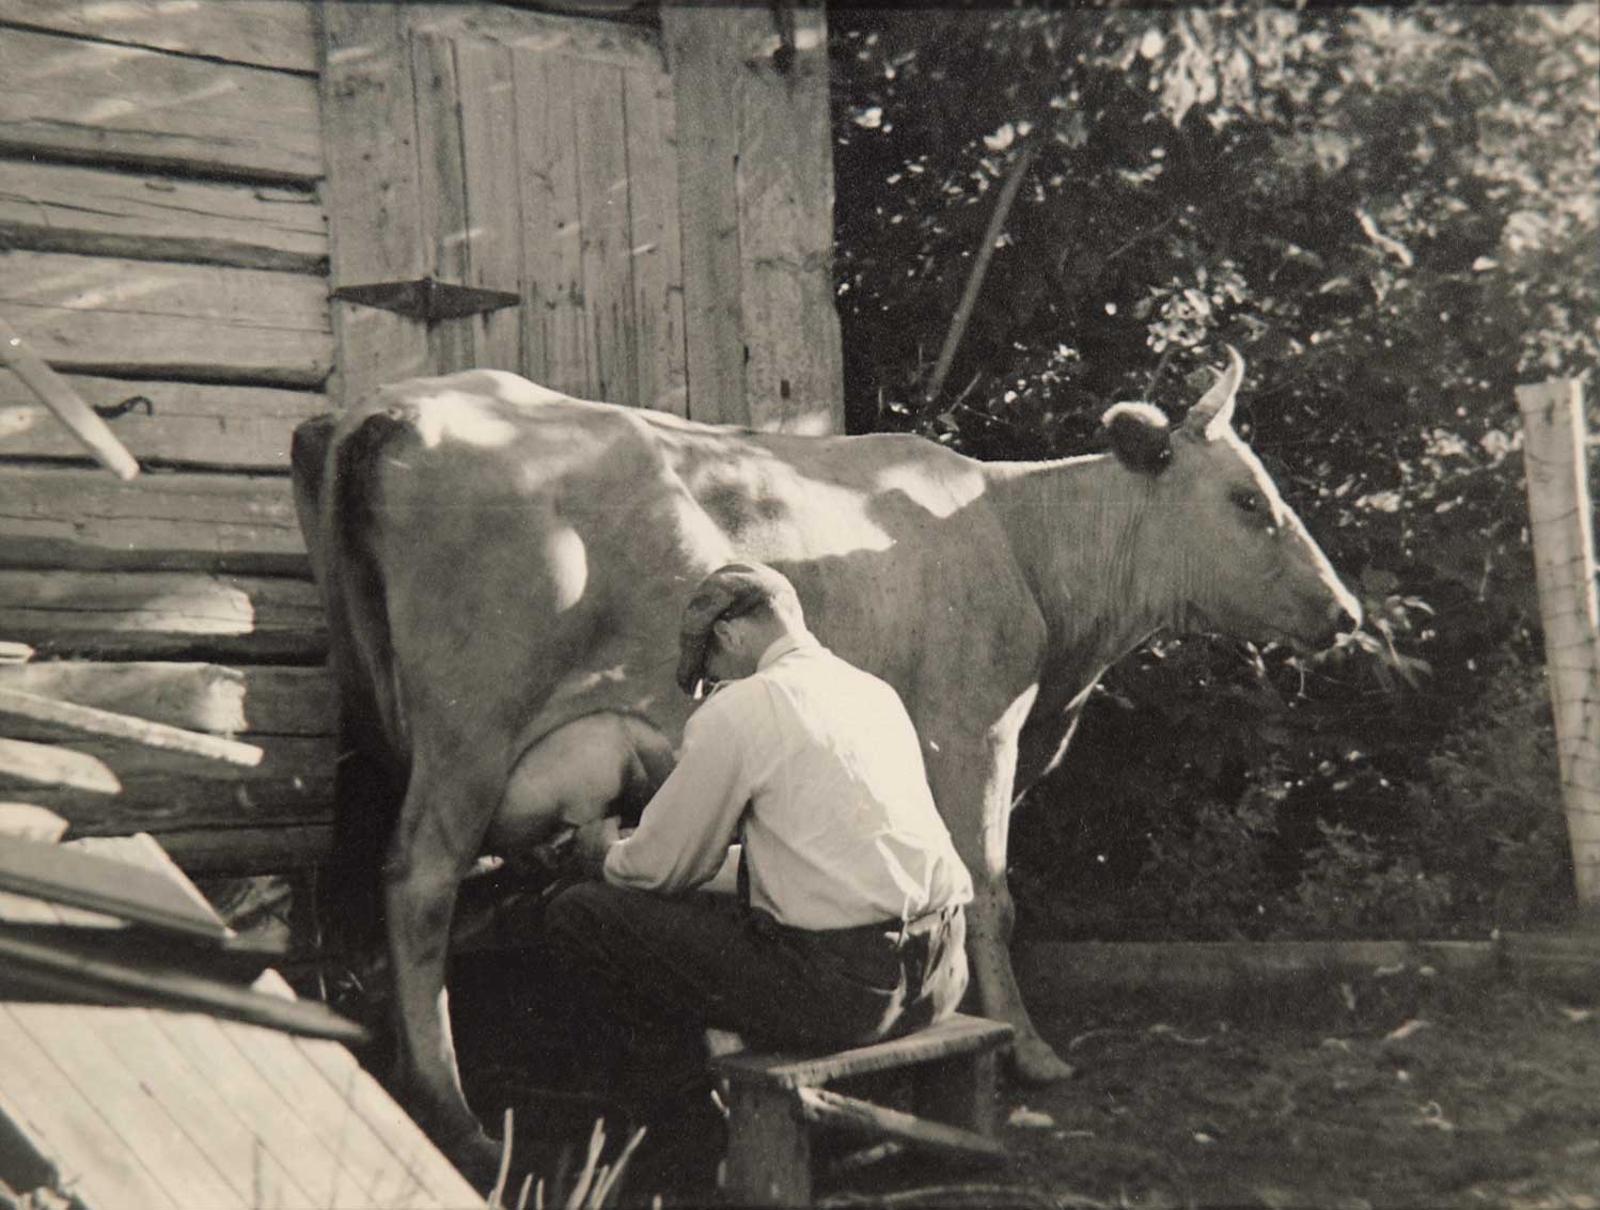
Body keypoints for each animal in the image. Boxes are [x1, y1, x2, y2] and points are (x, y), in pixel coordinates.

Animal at [291, 350, 1363, 1184]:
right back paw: (458, 1119)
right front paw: (1028, 1051)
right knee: (419, 883)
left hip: (378, 714)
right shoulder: (973, 724)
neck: (1021, 540)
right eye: (1249, 501)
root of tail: (391, 404)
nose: (1346, 611)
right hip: (469, 730)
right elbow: (991, 888)